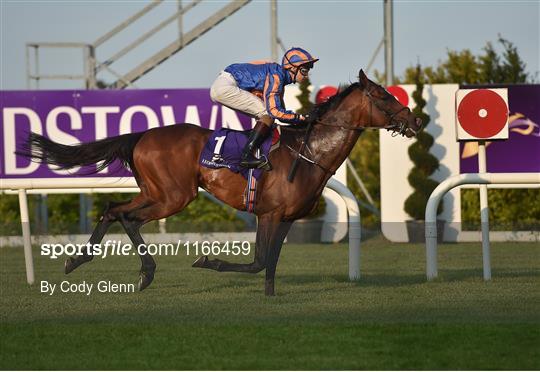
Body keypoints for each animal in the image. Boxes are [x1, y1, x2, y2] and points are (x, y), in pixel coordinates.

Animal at [19, 70, 422, 296]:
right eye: (383, 95)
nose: (415, 120)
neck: (308, 154)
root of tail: (142, 135)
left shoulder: (287, 218)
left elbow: (271, 262)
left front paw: (271, 297)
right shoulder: (268, 213)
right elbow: (259, 261)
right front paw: (207, 261)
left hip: (157, 192)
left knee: (116, 211)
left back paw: (90, 262)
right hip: (174, 196)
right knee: (123, 214)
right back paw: (130, 270)